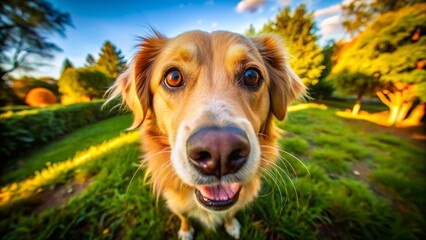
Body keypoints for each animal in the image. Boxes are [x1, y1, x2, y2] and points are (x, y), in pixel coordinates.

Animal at [108, 30, 304, 240]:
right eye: (173, 77)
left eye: (251, 76)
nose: (220, 153)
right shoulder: (175, 202)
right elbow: (184, 216)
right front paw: (185, 231)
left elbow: (231, 212)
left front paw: (231, 225)